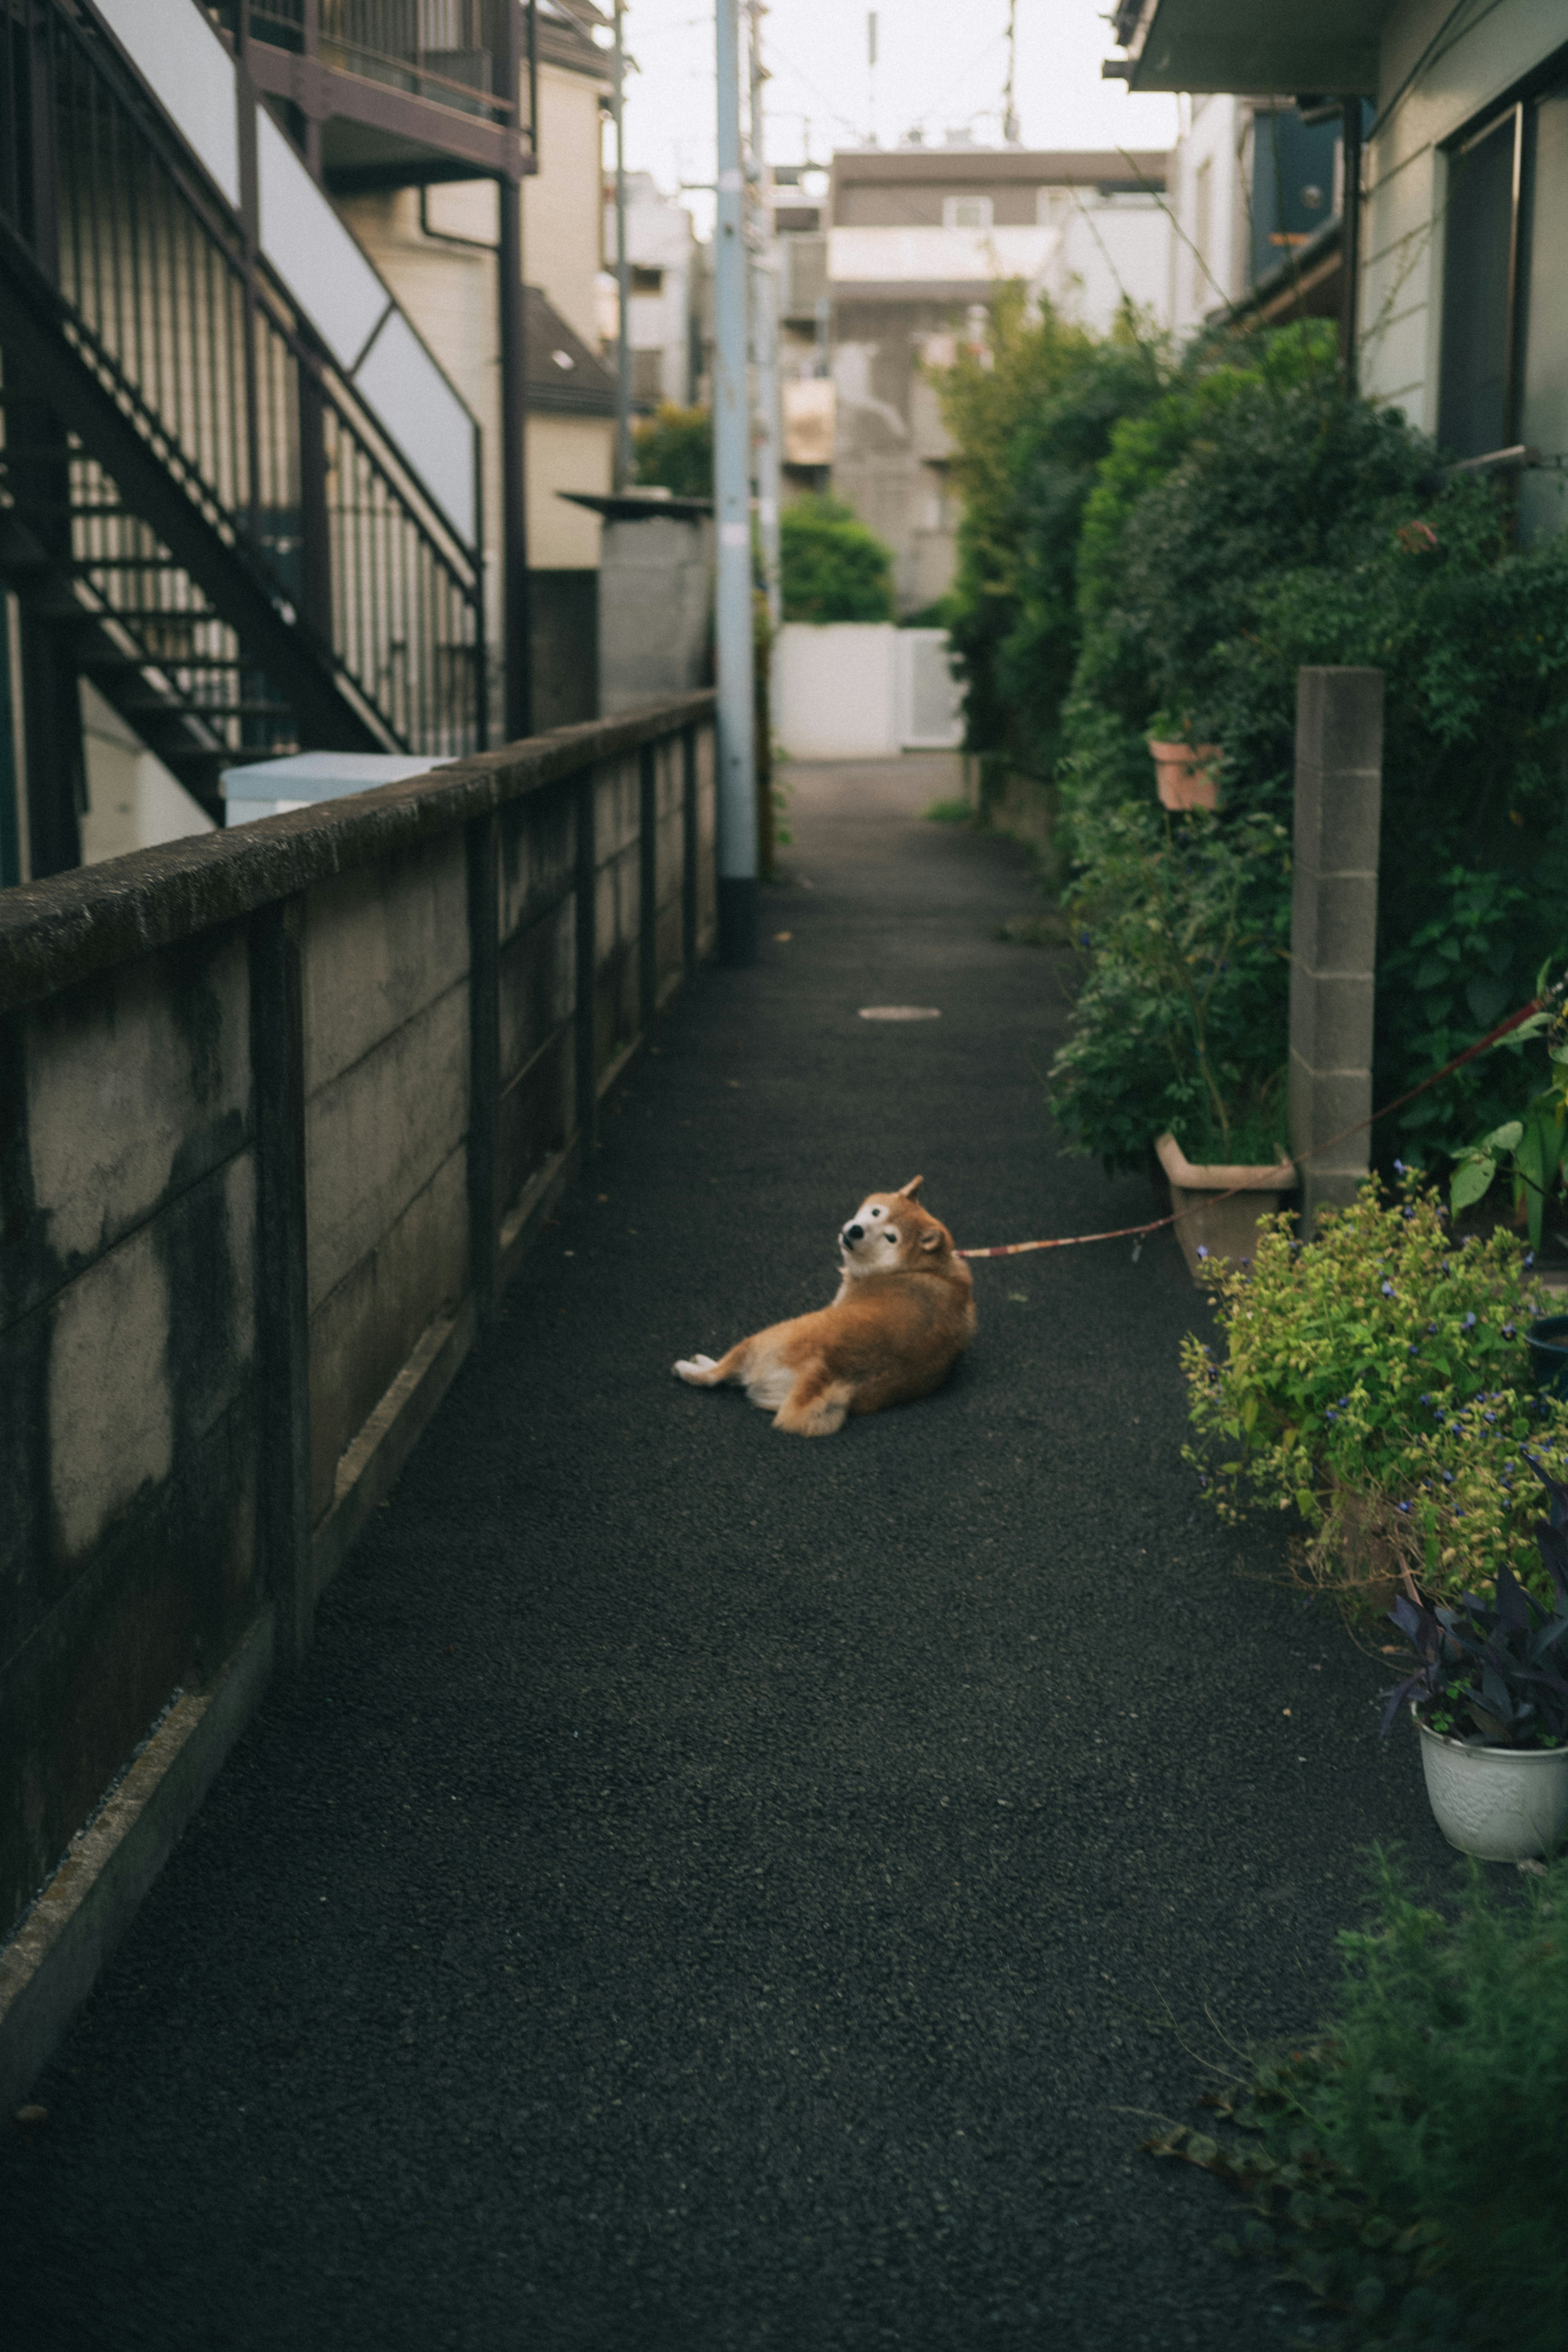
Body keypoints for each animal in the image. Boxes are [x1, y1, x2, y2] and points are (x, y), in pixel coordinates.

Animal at [672, 1176, 973, 1430]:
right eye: (876, 1212)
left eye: (891, 1238)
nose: (856, 1231)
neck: (922, 1268)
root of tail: (822, 1371)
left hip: (768, 1336)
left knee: (718, 1374)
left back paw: (695, 1368)